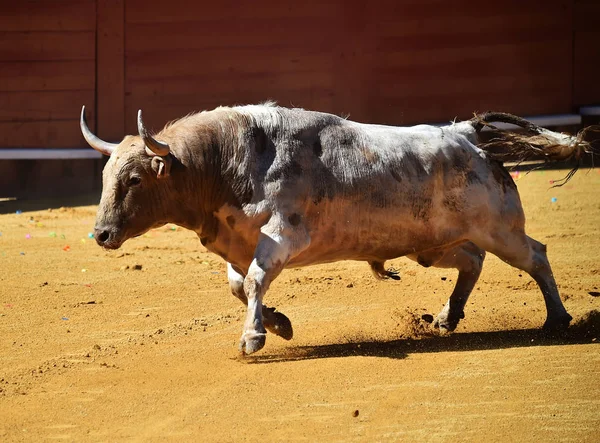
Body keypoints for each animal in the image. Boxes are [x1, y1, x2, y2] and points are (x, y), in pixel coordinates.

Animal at [79, 103, 592, 354]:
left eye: (135, 179)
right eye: (105, 177)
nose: (101, 235)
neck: (226, 162)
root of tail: (465, 133)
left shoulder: (283, 236)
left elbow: (254, 281)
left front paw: (253, 337)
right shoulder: (238, 243)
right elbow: (240, 286)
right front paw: (279, 324)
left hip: (500, 229)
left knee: (535, 255)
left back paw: (557, 318)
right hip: (431, 244)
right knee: (472, 261)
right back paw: (448, 317)